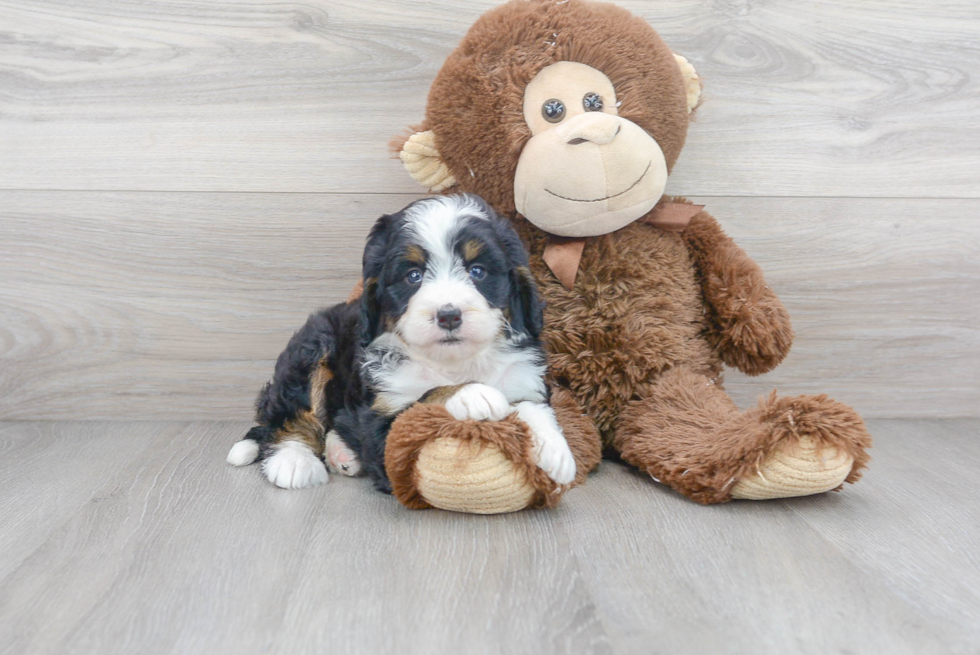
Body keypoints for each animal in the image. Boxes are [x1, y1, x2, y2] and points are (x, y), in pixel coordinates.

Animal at [226, 195, 580, 492]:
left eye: (477, 271)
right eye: (413, 276)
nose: (448, 315)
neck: (453, 362)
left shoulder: (522, 375)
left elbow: (531, 406)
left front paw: (554, 450)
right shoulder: (383, 426)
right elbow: (424, 399)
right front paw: (471, 393)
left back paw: (340, 451)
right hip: (313, 347)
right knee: (290, 417)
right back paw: (293, 460)